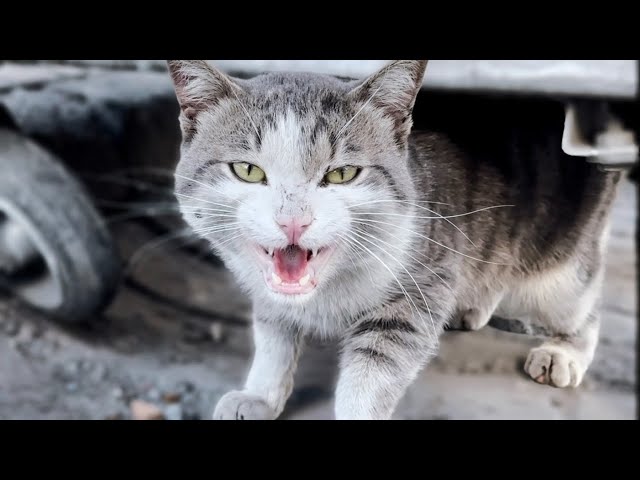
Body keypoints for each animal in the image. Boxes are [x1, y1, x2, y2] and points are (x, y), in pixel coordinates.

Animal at [165, 60, 620, 420]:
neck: (327, 291)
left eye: (342, 174)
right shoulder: (271, 295)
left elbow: (372, 373)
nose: (293, 220)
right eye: (248, 170)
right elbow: (273, 341)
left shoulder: (418, 291)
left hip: (561, 266)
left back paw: (563, 352)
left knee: (584, 304)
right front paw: (259, 396)